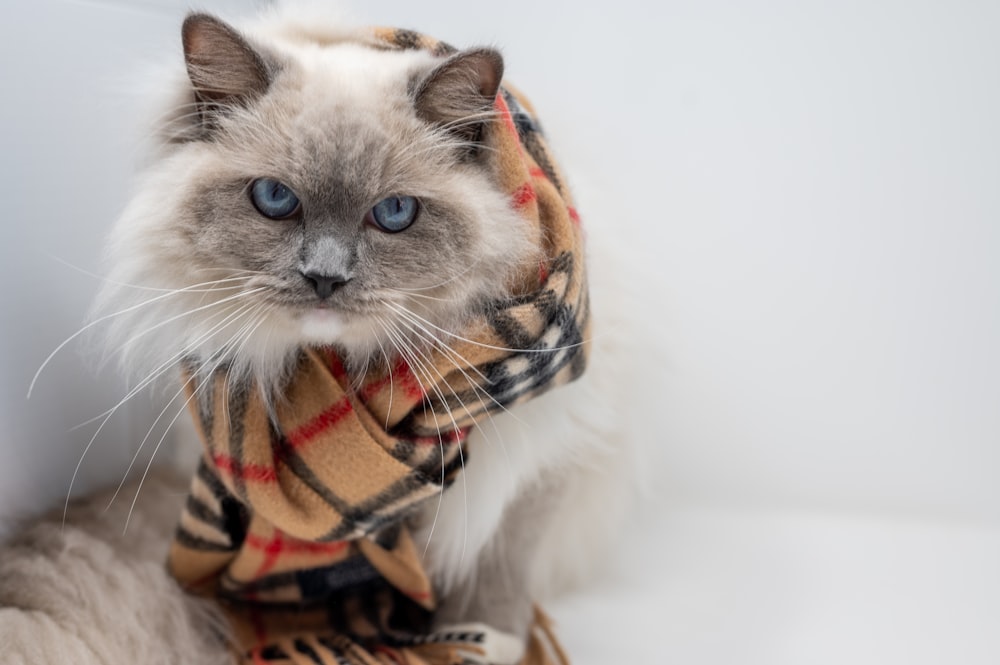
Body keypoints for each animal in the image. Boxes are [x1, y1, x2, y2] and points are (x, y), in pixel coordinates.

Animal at [0, 2, 640, 660]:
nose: (325, 278)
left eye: (394, 213)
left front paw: (485, 640)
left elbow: (500, 579)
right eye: (275, 198)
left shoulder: (545, 464)